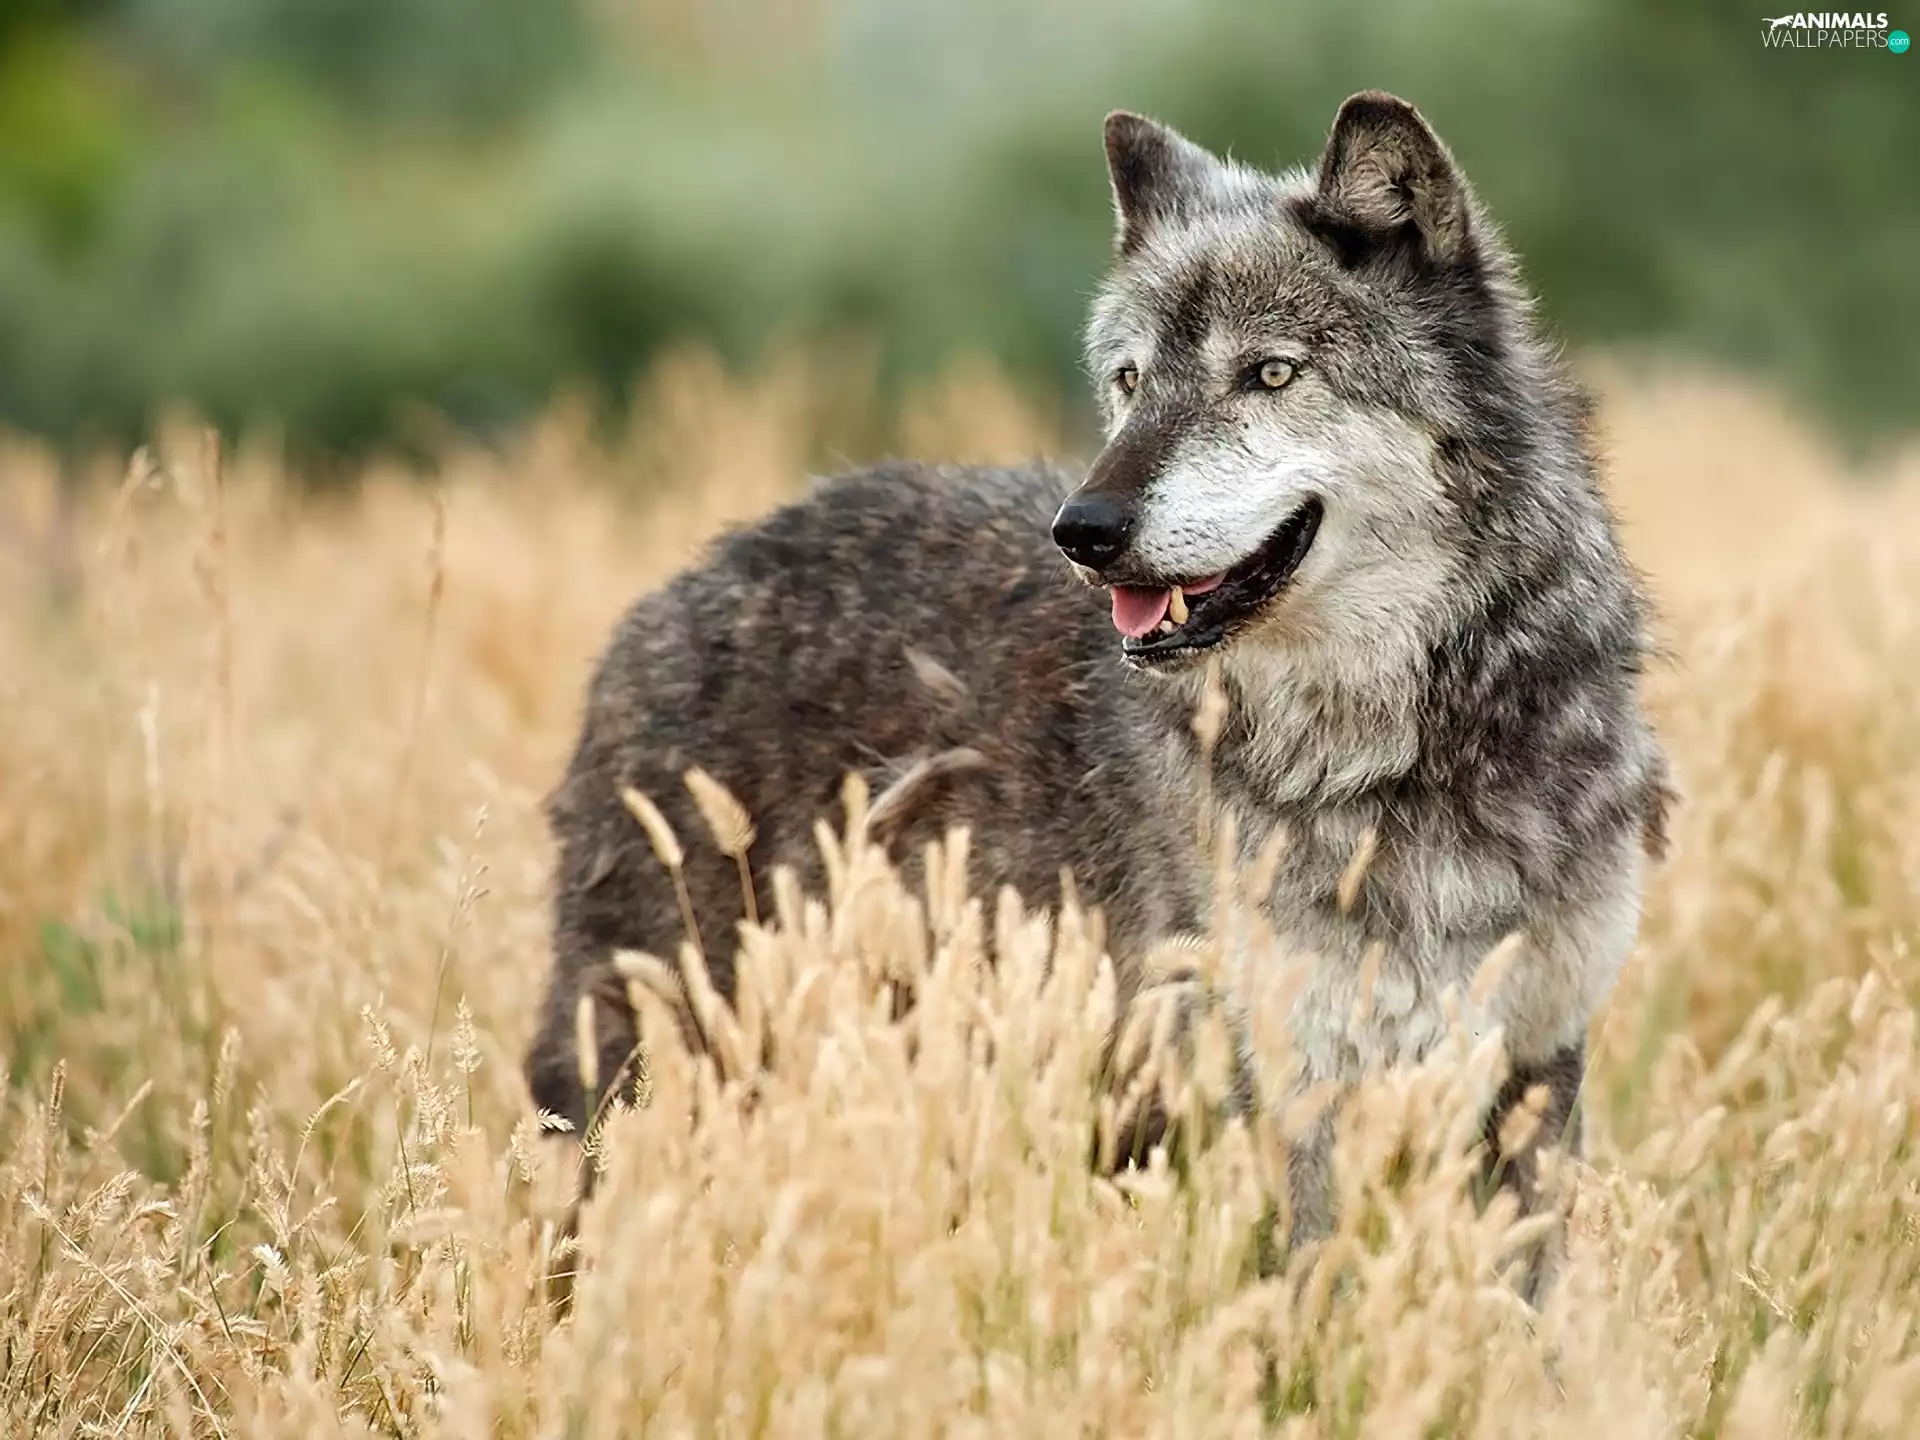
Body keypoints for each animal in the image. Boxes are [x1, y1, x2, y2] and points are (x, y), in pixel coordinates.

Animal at [523, 91, 1672, 1288]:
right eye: (1129, 381)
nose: (1083, 530)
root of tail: (671, 593)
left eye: (1269, 374)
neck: (1394, 750)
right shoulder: (1287, 1087)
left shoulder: (1534, 1067)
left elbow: (1517, 1304)